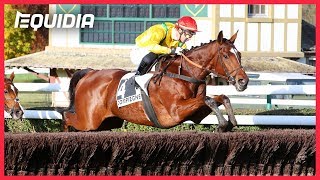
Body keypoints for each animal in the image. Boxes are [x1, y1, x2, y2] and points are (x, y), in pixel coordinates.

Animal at [62, 31, 248, 132]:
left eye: (239, 54)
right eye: (225, 56)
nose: (243, 81)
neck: (185, 74)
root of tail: (89, 74)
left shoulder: (195, 114)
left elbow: (221, 97)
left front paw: (230, 123)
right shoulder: (175, 111)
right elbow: (209, 99)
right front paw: (223, 124)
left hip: (108, 121)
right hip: (88, 120)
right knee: (66, 116)